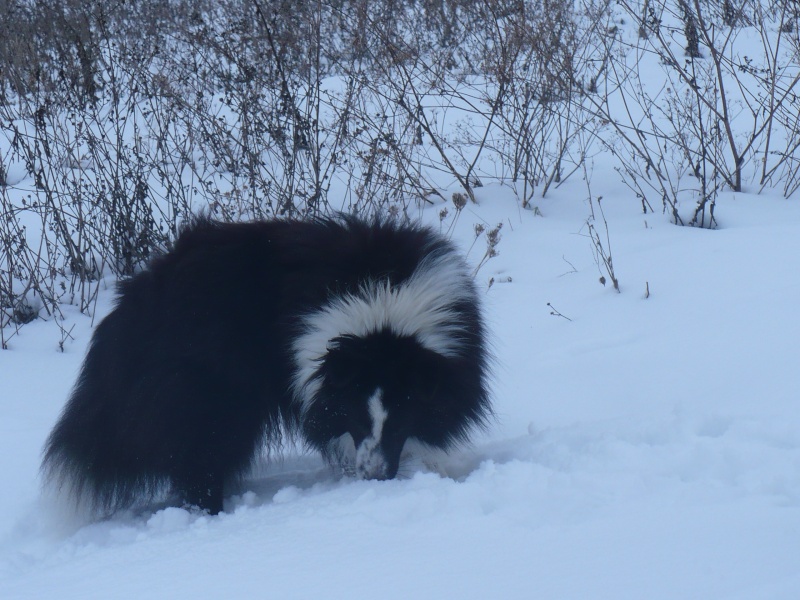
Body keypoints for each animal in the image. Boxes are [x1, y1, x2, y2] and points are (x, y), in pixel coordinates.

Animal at [45, 217, 494, 516]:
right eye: (357, 416)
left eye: (402, 417)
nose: (375, 476)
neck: (380, 295)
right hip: (210, 396)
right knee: (202, 453)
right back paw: (212, 511)